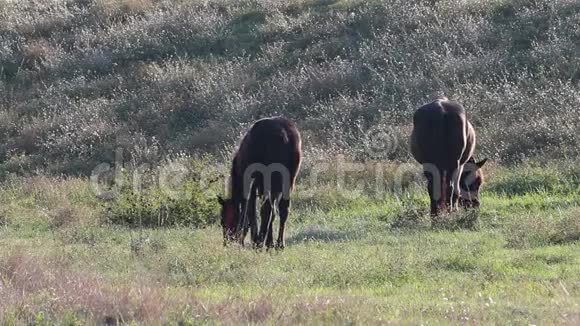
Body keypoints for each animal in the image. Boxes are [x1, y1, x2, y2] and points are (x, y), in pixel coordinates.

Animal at [215, 117, 302, 250]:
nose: (226, 242)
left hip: (267, 178)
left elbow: (250, 210)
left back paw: (259, 242)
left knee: (266, 208)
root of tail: (283, 134)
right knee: (283, 209)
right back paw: (279, 244)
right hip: (289, 179)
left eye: (223, 221)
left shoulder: (251, 184)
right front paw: (268, 241)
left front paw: (252, 238)